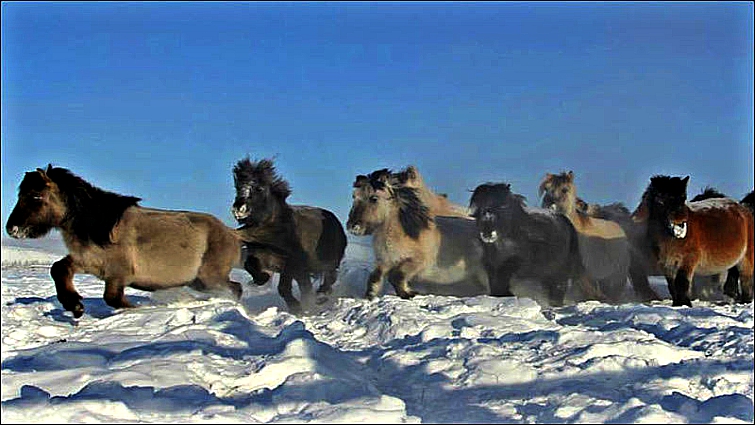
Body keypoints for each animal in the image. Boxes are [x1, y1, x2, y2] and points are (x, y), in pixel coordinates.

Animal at [6, 164, 248, 316]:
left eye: (35, 196)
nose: (12, 229)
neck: (101, 227)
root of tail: (232, 233)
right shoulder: (87, 262)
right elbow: (58, 268)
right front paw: (75, 306)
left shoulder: (119, 274)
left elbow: (113, 298)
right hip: (199, 281)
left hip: (210, 278)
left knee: (235, 288)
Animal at [232, 157, 346, 314]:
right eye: (237, 187)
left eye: (259, 188)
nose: (239, 209)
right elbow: (256, 269)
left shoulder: (293, 265)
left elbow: (289, 288)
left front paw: (301, 308)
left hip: (328, 262)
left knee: (329, 278)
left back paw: (320, 296)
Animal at [348, 168, 490, 298]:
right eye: (354, 197)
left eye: (373, 198)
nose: (353, 227)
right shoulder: (385, 261)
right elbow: (375, 278)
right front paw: (370, 296)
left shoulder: (418, 263)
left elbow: (397, 276)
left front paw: (408, 293)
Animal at [632, 175, 755, 304]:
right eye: (660, 200)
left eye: (683, 198)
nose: (680, 223)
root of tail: (745, 210)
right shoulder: (666, 265)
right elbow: (672, 286)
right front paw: (677, 304)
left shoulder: (688, 260)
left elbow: (682, 283)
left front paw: (685, 304)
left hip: (746, 259)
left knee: (746, 281)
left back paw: (745, 301)